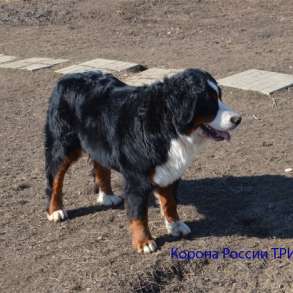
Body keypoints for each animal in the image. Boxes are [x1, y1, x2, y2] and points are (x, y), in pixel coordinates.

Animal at [43, 69, 240, 253]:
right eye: (209, 101)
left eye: (219, 96)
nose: (238, 119)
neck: (167, 125)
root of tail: (68, 77)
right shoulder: (137, 178)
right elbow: (139, 213)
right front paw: (144, 242)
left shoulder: (169, 170)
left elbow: (170, 202)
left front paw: (175, 225)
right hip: (63, 146)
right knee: (55, 181)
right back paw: (55, 210)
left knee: (101, 167)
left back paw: (107, 196)